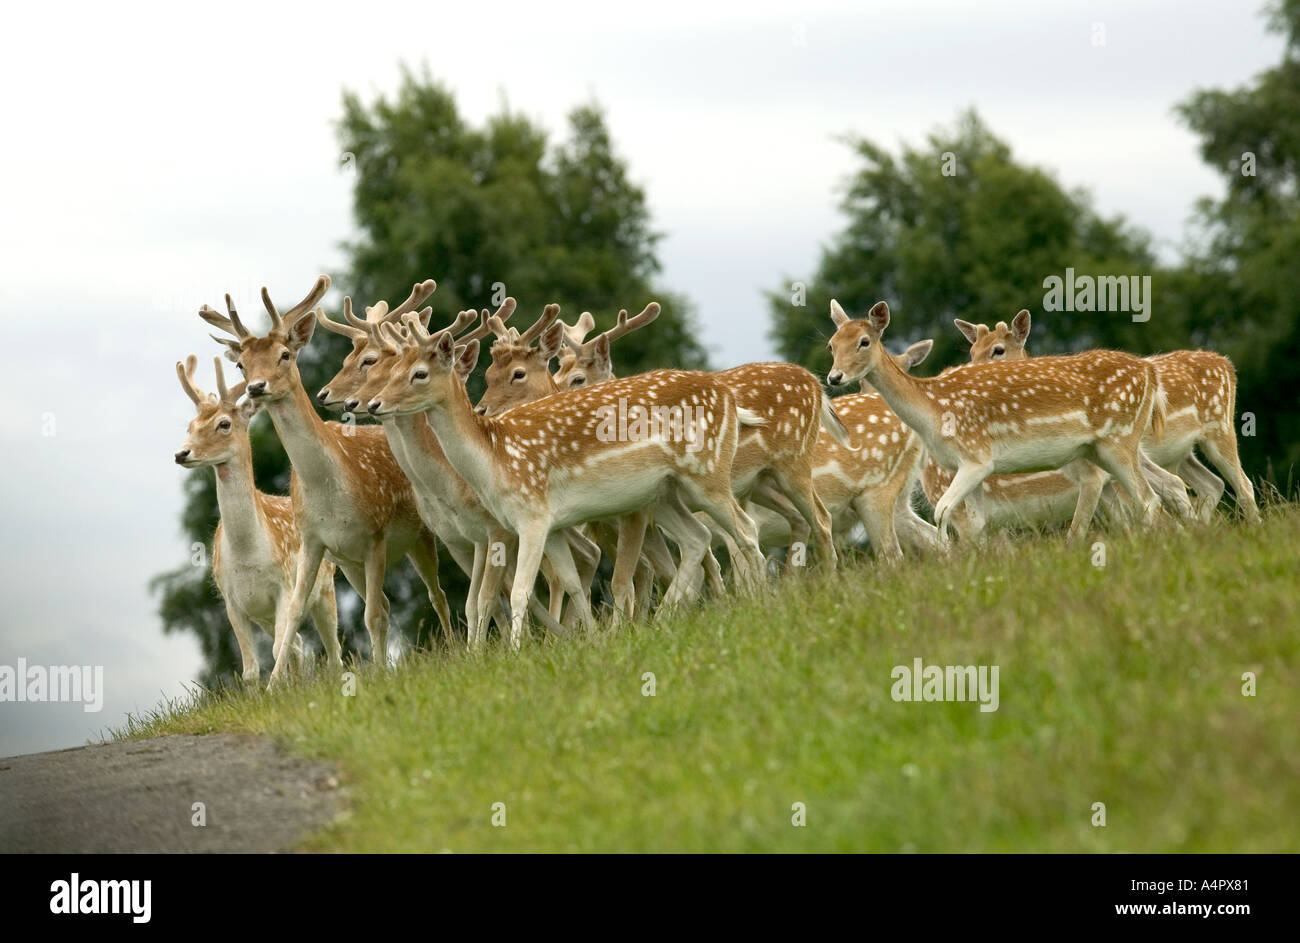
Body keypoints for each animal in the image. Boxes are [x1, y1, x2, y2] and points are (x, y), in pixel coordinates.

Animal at [173, 355, 339, 683]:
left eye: (224, 424)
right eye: (191, 425)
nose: (181, 453)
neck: (247, 554)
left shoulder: (283, 586)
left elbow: (277, 650)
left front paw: (277, 687)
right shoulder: (232, 600)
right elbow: (249, 669)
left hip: (325, 589)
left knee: (332, 650)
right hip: (264, 615)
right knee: (299, 644)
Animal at [200, 274, 454, 685]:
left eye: (285, 355)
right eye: (241, 364)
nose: (256, 387)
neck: (329, 490)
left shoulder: (375, 535)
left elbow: (371, 615)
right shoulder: (314, 542)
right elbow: (293, 618)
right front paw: (274, 686)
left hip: (419, 535)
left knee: (435, 595)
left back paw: (455, 646)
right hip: (349, 563)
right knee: (386, 603)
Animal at [367, 314, 766, 648]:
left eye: (419, 373)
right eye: (391, 370)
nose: (373, 404)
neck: (494, 458)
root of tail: (728, 396)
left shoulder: (532, 516)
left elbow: (521, 591)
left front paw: (517, 653)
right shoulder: (554, 525)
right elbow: (573, 583)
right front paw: (592, 639)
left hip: (707, 471)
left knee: (746, 529)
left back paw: (764, 601)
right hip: (664, 493)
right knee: (697, 540)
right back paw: (662, 621)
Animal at [826, 299, 1167, 541]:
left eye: (864, 341)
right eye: (831, 343)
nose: (834, 377)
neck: (932, 413)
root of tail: (1149, 371)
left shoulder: (976, 457)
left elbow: (942, 513)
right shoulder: (968, 468)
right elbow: (976, 524)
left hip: (1119, 439)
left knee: (1149, 501)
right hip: (1098, 450)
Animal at [956, 310, 1258, 523]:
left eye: (998, 350)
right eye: (971, 352)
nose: (967, 375)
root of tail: (1227, 365)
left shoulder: (1095, 475)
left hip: (1219, 427)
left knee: (1243, 484)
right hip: (1183, 453)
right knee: (1209, 484)